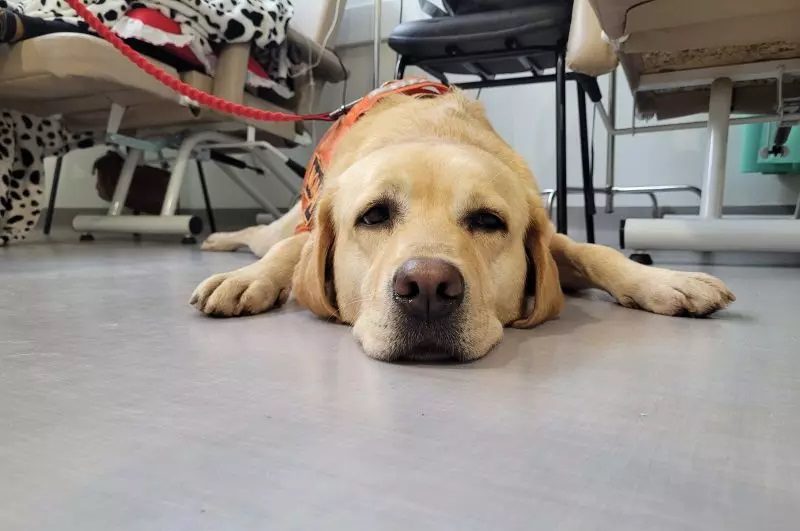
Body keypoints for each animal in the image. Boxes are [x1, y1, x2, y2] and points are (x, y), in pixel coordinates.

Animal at [191, 91, 736, 364]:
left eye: (488, 221)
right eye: (374, 216)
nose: (428, 288)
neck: (429, 129)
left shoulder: (553, 240)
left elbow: (594, 251)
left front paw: (665, 280)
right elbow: (290, 256)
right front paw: (246, 281)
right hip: (284, 222)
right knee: (265, 237)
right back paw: (218, 241)